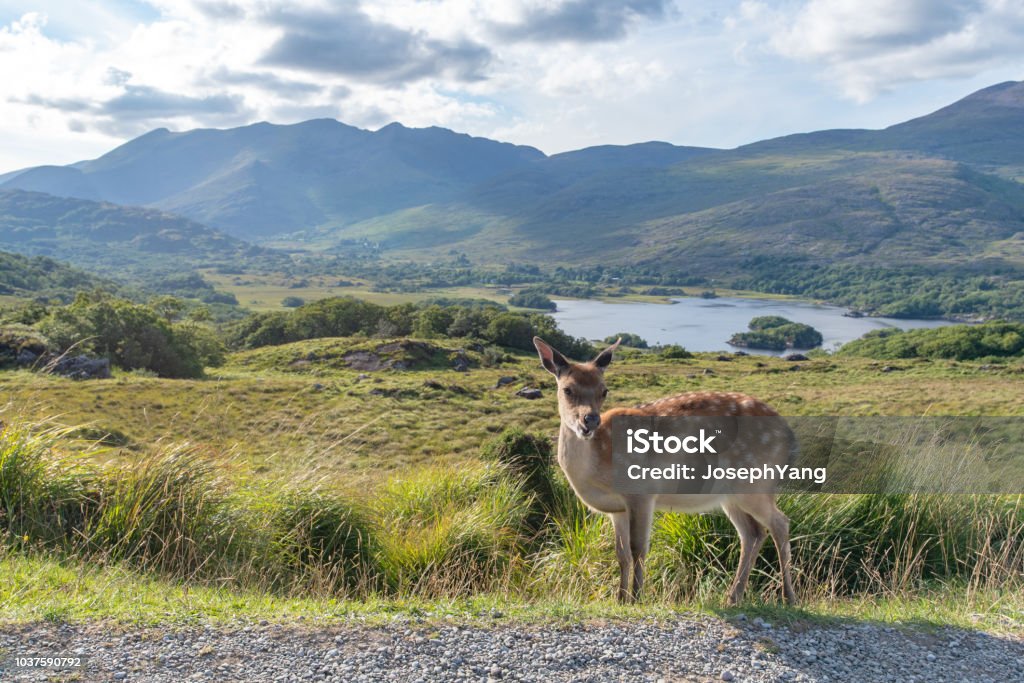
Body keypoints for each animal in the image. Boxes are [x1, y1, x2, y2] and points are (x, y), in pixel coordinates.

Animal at [536, 335, 798, 602]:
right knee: (753, 533)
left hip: (756, 483)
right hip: (731, 495)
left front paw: (636, 597)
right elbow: (621, 553)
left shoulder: (641, 492)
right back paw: (733, 596)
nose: (590, 420)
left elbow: (638, 548)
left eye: (604, 390)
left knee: (780, 523)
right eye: (567, 389)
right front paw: (620, 598)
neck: (597, 466)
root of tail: (789, 436)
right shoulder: (616, 509)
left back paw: (787, 596)